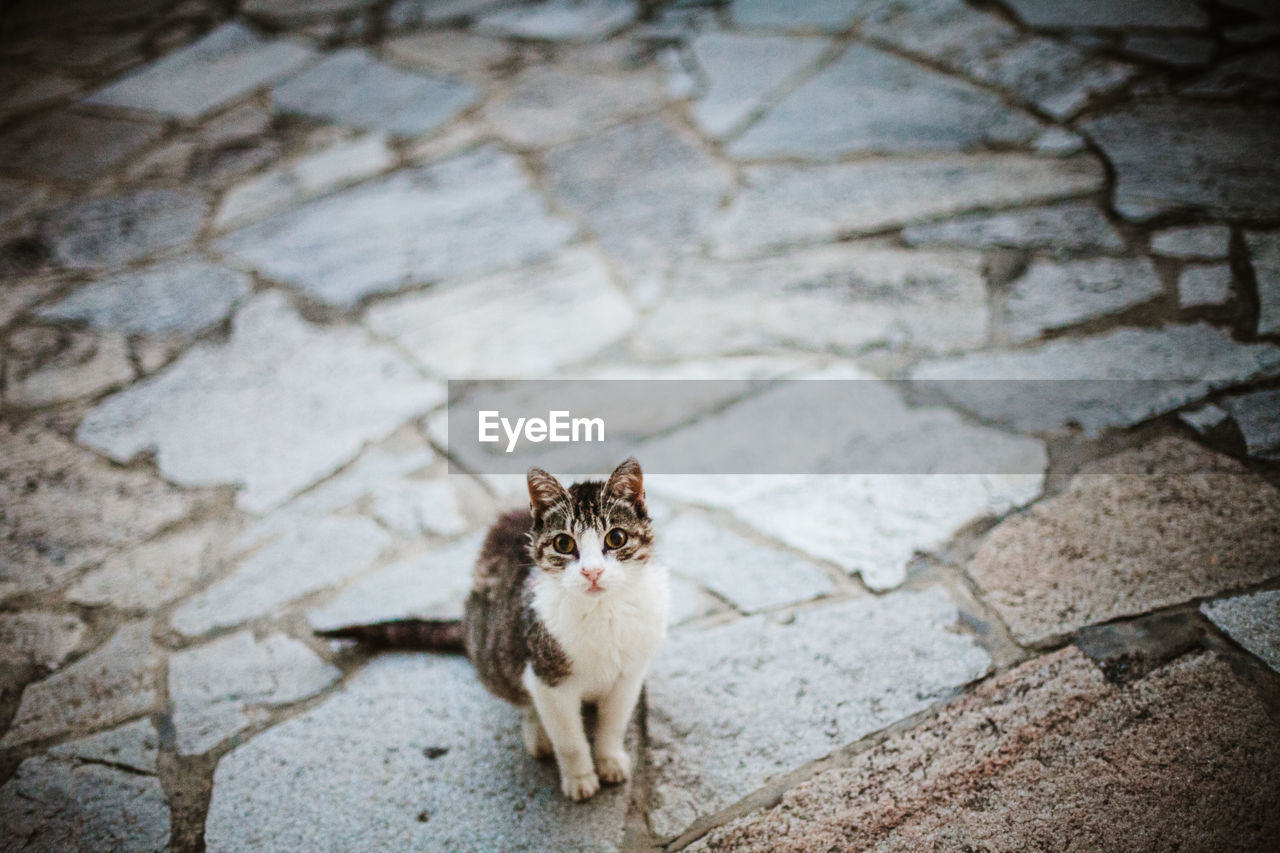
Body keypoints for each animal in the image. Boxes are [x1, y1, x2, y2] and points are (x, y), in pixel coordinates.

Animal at [317, 458, 670, 799]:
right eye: (563, 543)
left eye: (616, 538)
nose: (592, 572)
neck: (602, 612)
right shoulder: (547, 674)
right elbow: (568, 737)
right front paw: (580, 778)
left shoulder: (630, 673)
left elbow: (614, 721)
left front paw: (609, 759)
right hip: (496, 650)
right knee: (522, 692)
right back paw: (538, 731)